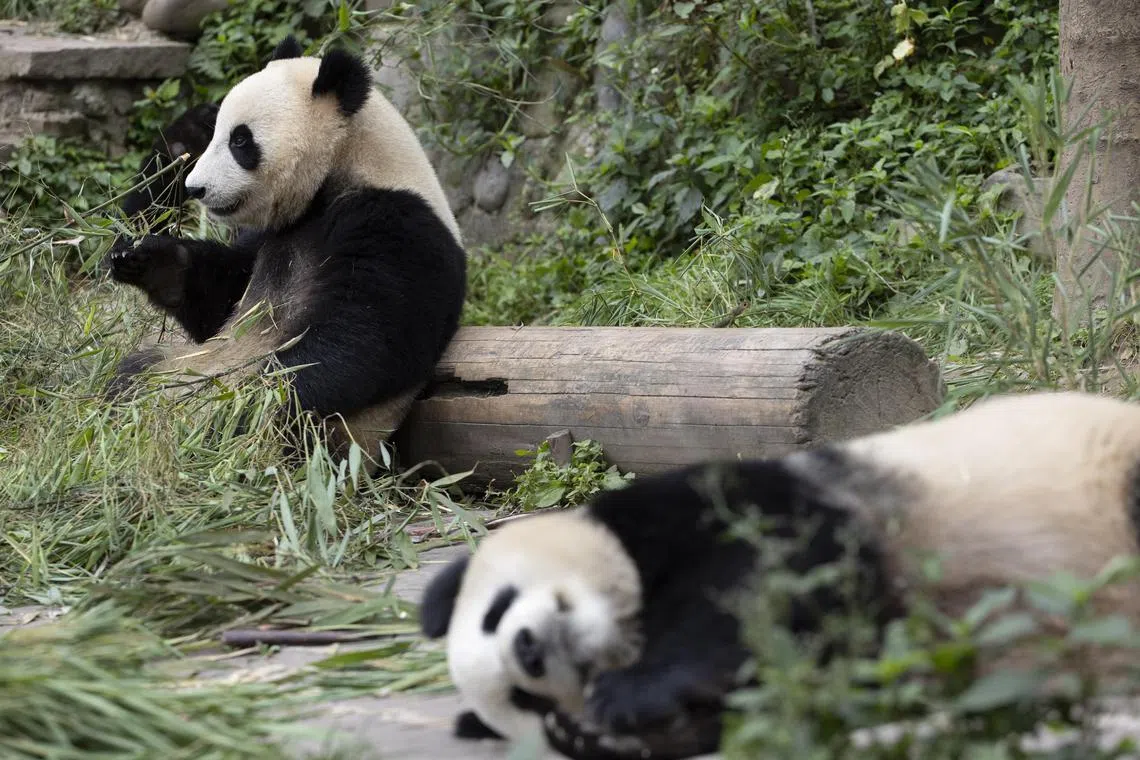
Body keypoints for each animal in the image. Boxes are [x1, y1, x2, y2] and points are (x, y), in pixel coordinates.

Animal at [107, 36, 467, 458]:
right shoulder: (274, 234)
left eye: (240, 140)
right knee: (130, 374)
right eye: (216, 134)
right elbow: (219, 300)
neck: (346, 166)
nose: (196, 188)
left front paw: (255, 397)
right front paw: (146, 258)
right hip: (173, 365)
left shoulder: (401, 229)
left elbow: (364, 342)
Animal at [420, 391, 1140, 760]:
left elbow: (765, 570)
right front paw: (603, 729)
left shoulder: (718, 501)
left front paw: (632, 691)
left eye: (498, 607)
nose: (529, 650)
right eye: (525, 701)